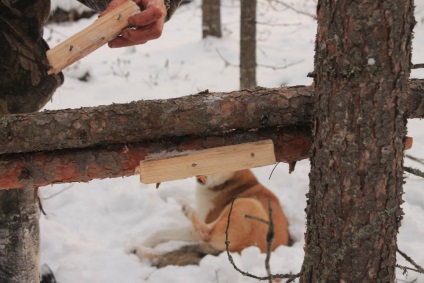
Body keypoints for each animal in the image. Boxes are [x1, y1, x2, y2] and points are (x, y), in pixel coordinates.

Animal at [134, 169, 290, 260]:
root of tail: (246, 249)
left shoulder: (200, 224)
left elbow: (159, 232)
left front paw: (133, 245)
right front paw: (180, 200)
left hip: (248, 203)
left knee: (205, 233)